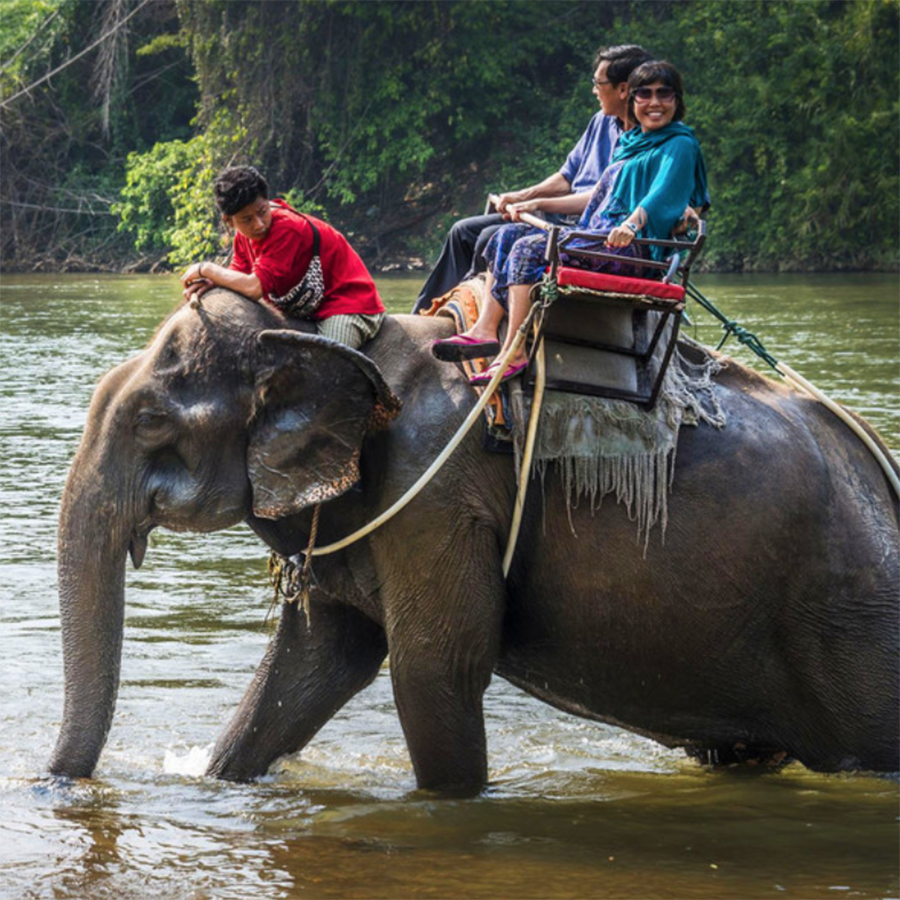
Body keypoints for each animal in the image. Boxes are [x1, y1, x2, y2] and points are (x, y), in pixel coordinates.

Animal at [48, 288, 900, 792]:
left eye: (150, 420)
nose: (55, 787)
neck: (326, 338)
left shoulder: (434, 492)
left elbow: (435, 667)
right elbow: (313, 665)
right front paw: (219, 775)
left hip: (852, 617)